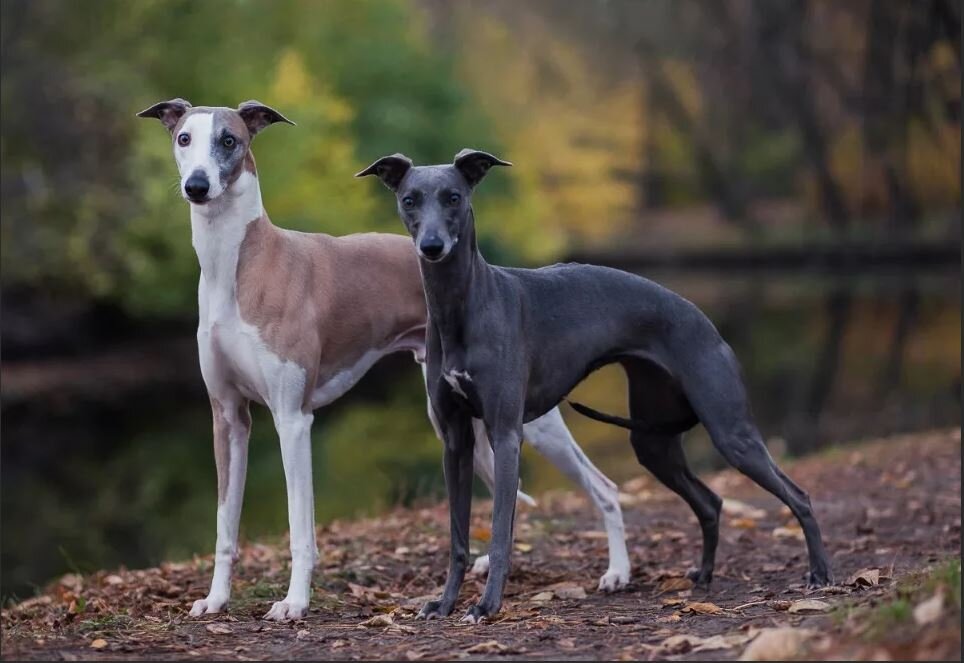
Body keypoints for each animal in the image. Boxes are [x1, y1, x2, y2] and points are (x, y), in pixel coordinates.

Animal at [137, 100, 632, 624]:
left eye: (229, 140)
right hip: (460, 425)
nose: (197, 186)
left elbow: (300, 529)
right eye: (184, 138)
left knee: (603, 487)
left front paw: (294, 602)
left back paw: (618, 573)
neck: (241, 265)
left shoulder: (293, 419)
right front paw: (215, 599)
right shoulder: (228, 417)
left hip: (525, 423)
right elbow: (224, 525)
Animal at [358, 148, 832, 624]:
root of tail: (702, 318)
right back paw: (703, 575)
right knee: (711, 501)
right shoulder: (456, 441)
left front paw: (487, 605)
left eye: (454, 197)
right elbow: (458, 537)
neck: (463, 306)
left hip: (730, 430)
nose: (432, 247)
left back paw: (819, 574)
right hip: (652, 441)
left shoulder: (506, 434)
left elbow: (499, 533)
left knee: (800, 496)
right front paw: (444, 603)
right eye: (410, 200)